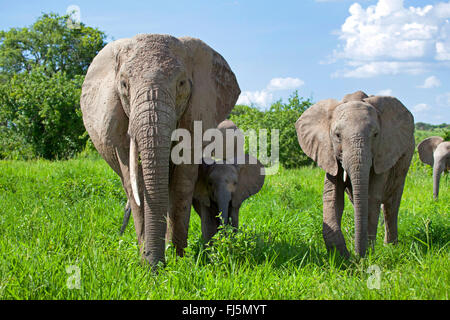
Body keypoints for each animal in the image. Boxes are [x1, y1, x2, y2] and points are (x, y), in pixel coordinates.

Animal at [80, 33, 239, 268]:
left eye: (181, 84)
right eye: (124, 85)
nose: (157, 268)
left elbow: (182, 185)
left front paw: (178, 262)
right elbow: (135, 183)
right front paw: (147, 264)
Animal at [296, 91, 414, 258]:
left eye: (376, 134)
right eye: (337, 135)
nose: (356, 257)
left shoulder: (383, 152)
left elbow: (371, 198)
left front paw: (367, 255)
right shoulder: (329, 154)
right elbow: (332, 197)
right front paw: (341, 256)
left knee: (391, 204)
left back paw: (391, 248)